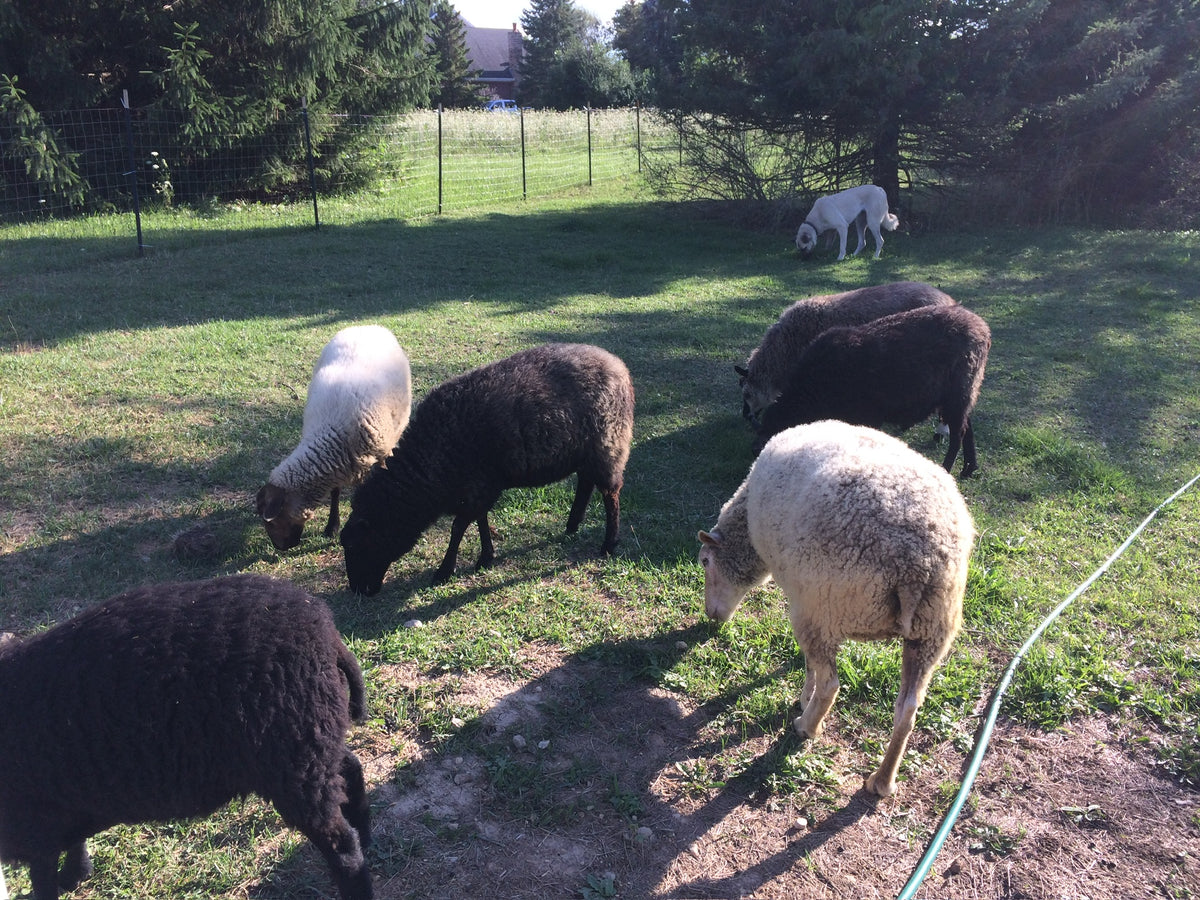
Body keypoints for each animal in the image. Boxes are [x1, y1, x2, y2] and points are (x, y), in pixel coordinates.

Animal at [0, 575, 372, 900]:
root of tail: (325, 631)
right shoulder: (60, 808)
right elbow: (71, 846)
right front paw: (75, 876)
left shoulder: (33, 823)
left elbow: (43, 878)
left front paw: (66, 879)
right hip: (312, 740)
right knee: (351, 769)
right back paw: (366, 835)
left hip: (292, 760)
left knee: (341, 847)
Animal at [257, 324, 412, 551]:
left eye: (271, 522)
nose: (280, 548)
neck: (330, 431)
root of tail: (368, 325)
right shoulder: (338, 463)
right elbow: (335, 492)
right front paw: (332, 526)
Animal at [340, 343, 634, 596]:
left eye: (357, 546)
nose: (359, 591)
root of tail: (618, 366)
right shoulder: (479, 487)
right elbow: (480, 519)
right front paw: (485, 557)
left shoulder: (478, 487)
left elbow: (458, 527)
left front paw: (445, 570)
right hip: (585, 451)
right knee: (586, 482)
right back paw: (572, 524)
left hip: (608, 442)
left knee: (610, 493)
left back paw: (609, 543)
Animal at [698, 420, 974, 797]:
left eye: (705, 562)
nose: (711, 617)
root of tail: (918, 562)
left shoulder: (803, 600)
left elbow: (809, 665)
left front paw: (804, 697)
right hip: (932, 630)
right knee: (907, 709)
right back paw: (882, 781)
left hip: (826, 605)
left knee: (831, 684)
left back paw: (806, 726)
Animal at [754, 303, 991, 477]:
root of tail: (982, 328)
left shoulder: (867, 416)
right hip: (964, 392)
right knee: (967, 427)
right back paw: (969, 468)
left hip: (957, 393)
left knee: (958, 435)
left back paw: (948, 469)